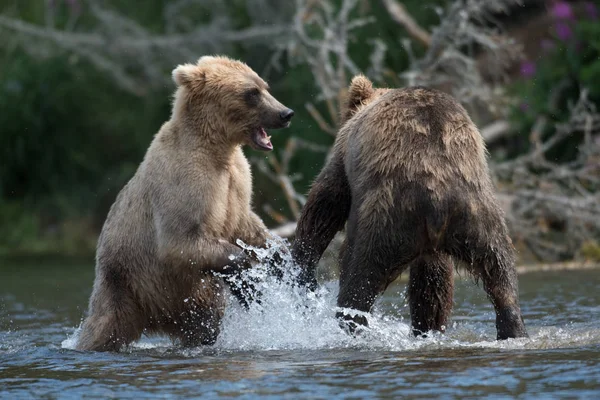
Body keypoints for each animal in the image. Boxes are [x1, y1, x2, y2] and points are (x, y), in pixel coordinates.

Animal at [76, 57, 294, 354]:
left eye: (264, 86)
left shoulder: (237, 182)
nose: (285, 113)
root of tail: (156, 317)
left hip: (191, 299)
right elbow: (180, 240)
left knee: (205, 323)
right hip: (124, 280)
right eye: (251, 93)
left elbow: (246, 223)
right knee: (105, 325)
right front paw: (250, 281)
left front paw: (280, 253)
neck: (218, 148)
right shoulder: (187, 181)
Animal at [292, 73, 528, 340]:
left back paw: (349, 323)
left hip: (386, 215)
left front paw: (302, 264)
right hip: (477, 215)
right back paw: (508, 328)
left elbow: (326, 201)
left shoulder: (345, 154)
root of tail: (437, 201)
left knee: (359, 274)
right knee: (499, 274)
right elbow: (433, 280)